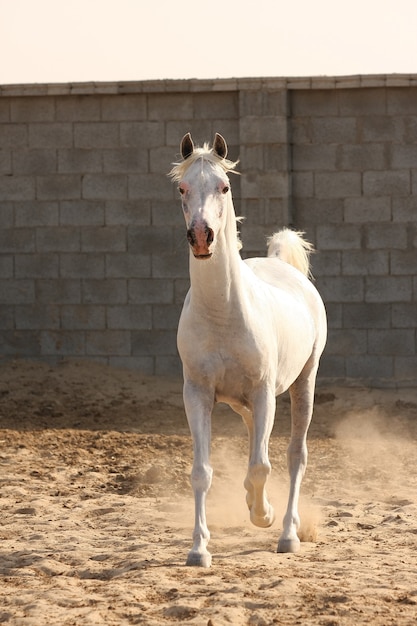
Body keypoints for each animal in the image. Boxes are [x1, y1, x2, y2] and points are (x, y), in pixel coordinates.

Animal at [168, 132, 324, 564]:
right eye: (183, 188)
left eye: (224, 186)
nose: (201, 236)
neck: (223, 313)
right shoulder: (197, 394)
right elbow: (202, 472)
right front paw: (198, 549)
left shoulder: (264, 391)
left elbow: (262, 466)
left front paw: (263, 517)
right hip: (244, 404)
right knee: (260, 441)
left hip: (303, 384)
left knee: (293, 455)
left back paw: (287, 532)